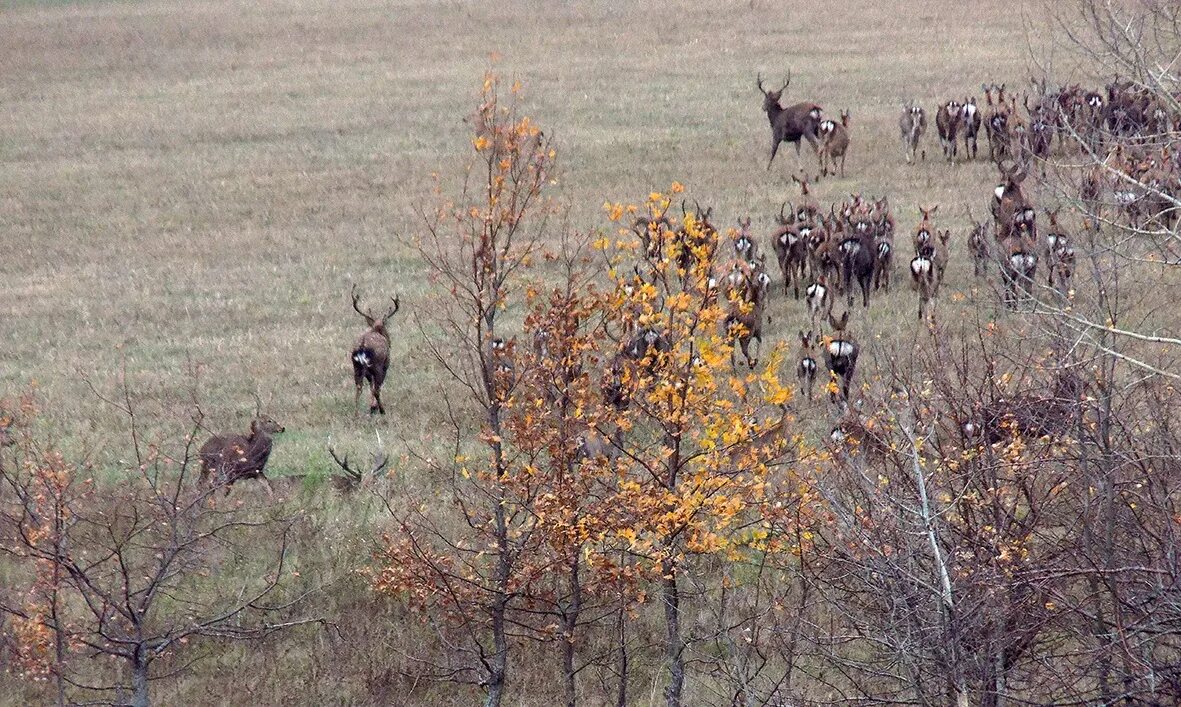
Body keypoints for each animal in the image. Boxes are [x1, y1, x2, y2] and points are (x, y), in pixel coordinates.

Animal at [349, 282, 401, 415]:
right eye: (386, 329)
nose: (390, 341)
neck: (376, 329)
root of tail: (362, 347)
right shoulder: (386, 364)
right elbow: (376, 387)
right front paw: (374, 407)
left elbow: (370, 385)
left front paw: (372, 407)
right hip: (377, 365)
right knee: (376, 388)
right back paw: (382, 410)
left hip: (357, 366)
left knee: (359, 387)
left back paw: (356, 414)